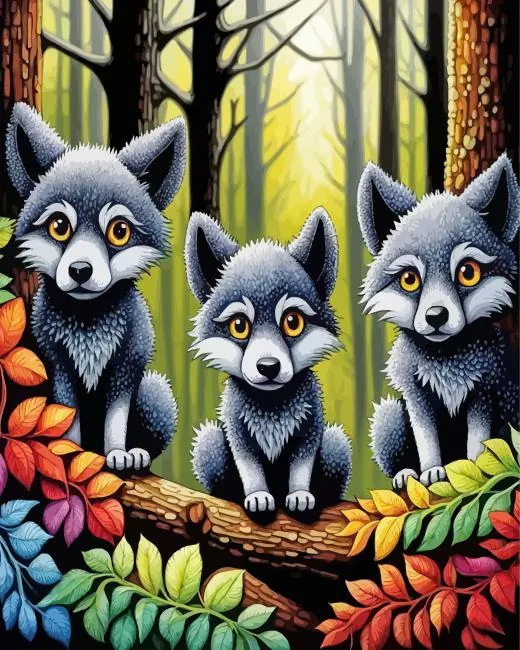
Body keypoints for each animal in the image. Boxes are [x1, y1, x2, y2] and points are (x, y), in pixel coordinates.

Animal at [6, 103, 186, 470]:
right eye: (59, 226)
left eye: (119, 231)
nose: (80, 270)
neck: (87, 320)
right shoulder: (56, 361)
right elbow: (67, 413)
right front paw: (69, 448)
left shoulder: (129, 360)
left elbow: (116, 418)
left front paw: (119, 453)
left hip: (156, 393)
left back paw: (140, 454)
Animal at [185, 208, 352, 514]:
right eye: (239, 325)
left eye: (292, 322)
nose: (268, 367)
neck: (271, 402)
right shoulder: (236, 426)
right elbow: (249, 466)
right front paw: (258, 496)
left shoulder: (311, 422)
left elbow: (302, 464)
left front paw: (300, 495)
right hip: (208, 444)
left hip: (337, 446)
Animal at [357, 154, 519, 489]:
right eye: (409, 279)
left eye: (467, 272)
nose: (436, 316)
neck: (446, 357)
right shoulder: (415, 391)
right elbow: (426, 439)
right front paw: (432, 470)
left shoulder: (484, 389)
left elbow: (478, 440)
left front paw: (477, 470)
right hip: (388, 416)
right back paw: (404, 474)